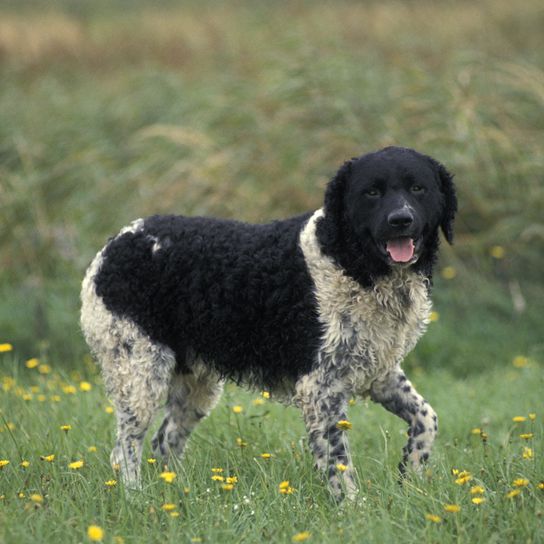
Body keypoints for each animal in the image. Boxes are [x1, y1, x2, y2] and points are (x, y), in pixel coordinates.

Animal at [79, 147, 454, 500]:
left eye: (418, 188)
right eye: (371, 192)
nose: (400, 219)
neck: (350, 262)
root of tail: (115, 244)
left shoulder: (378, 371)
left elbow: (427, 420)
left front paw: (411, 477)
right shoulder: (320, 387)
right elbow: (339, 462)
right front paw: (353, 509)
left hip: (194, 387)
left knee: (163, 443)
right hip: (140, 373)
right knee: (125, 450)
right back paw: (137, 499)